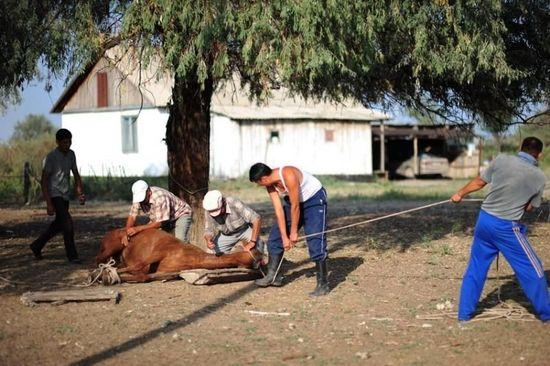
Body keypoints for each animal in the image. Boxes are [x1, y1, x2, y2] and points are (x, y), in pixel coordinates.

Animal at [96, 229, 262, 284]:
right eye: (254, 253)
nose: (263, 262)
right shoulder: (159, 251)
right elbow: (139, 266)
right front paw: (104, 275)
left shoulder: (165, 273)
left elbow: (144, 276)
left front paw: (110, 276)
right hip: (111, 246)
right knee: (98, 259)